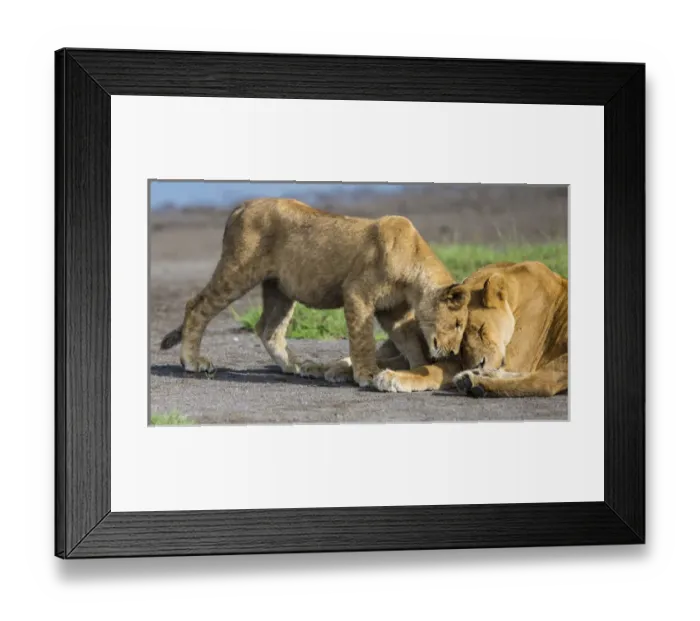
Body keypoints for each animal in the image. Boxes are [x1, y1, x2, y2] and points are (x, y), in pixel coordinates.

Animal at [159, 198, 469, 387]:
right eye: (456, 323)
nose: (452, 351)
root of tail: (242, 205)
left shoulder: (392, 311)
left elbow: (411, 341)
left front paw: (417, 371)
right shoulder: (357, 293)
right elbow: (363, 340)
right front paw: (368, 375)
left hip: (280, 288)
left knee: (268, 328)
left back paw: (297, 365)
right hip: (238, 271)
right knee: (196, 306)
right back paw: (193, 362)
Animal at [372, 261, 568, 397]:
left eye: (481, 329)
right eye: (460, 340)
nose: (477, 364)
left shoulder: (515, 359)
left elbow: (432, 369)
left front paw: (393, 377)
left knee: (542, 382)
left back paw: (473, 383)